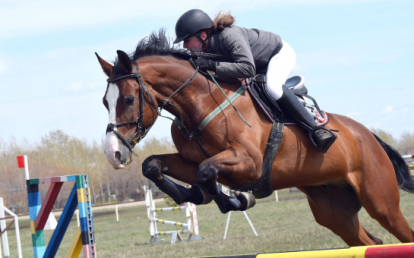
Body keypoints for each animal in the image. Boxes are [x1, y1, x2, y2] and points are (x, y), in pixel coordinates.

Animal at [95, 30, 414, 246]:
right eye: (104, 101)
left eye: (128, 99)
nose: (113, 154)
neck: (199, 102)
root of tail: (369, 136)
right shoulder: (190, 160)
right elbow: (154, 165)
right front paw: (194, 194)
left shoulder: (249, 163)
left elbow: (207, 171)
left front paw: (236, 200)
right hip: (334, 211)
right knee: (369, 242)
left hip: (381, 202)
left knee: (401, 232)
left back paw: (322, 135)